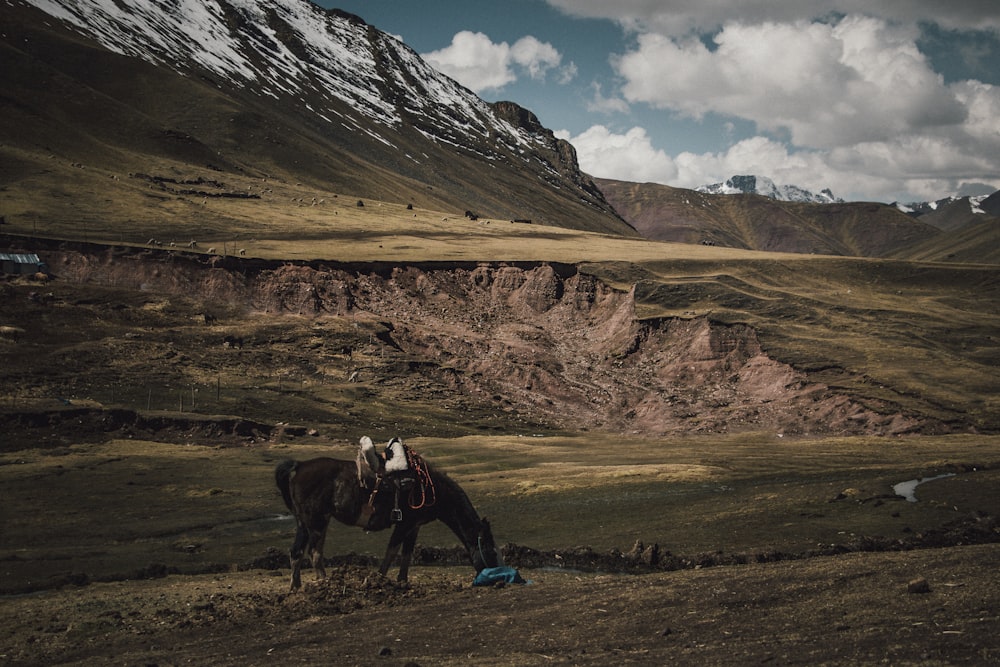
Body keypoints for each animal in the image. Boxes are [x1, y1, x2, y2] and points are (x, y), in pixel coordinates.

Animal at [274, 444, 500, 588]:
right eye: (490, 548)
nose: (496, 578)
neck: (431, 488)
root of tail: (299, 466)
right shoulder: (404, 524)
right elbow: (392, 551)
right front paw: (379, 579)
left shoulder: (414, 526)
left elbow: (407, 554)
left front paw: (403, 581)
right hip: (317, 522)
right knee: (314, 553)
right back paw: (324, 583)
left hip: (306, 523)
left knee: (297, 552)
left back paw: (295, 588)